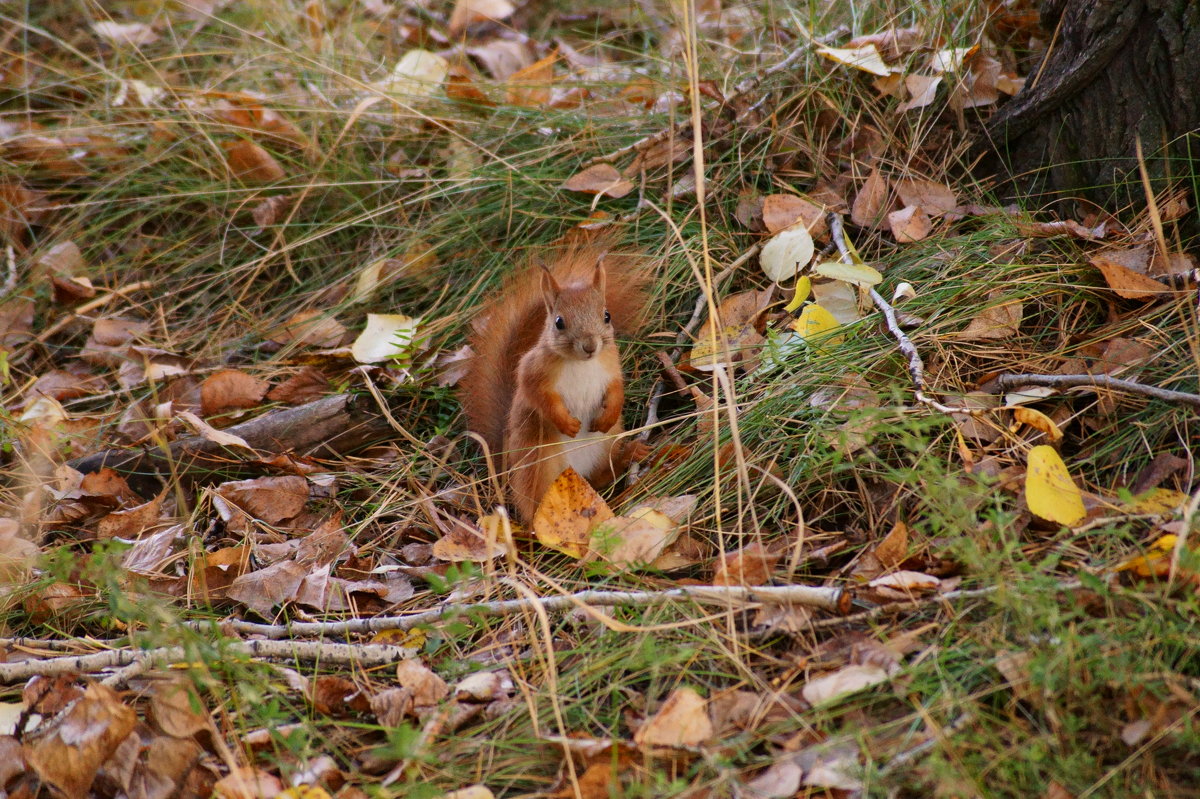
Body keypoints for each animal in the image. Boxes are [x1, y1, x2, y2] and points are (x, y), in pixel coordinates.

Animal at [456, 239, 648, 520]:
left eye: (607, 315)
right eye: (559, 322)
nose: (590, 346)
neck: (581, 363)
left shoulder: (611, 365)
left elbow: (616, 388)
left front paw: (610, 412)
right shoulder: (532, 373)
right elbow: (541, 399)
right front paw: (566, 423)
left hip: (606, 445)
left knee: (602, 477)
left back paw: (629, 455)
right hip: (540, 466)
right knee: (536, 506)